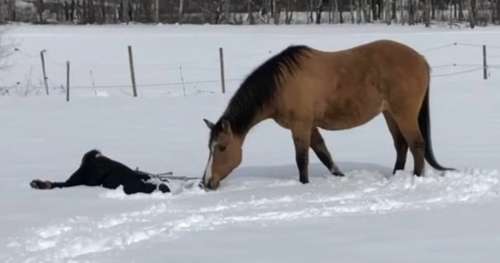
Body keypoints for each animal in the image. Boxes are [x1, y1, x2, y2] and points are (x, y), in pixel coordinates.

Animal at [200, 40, 454, 191]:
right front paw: (339, 176)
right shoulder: (310, 126)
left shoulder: (300, 126)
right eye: (209, 148)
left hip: (404, 113)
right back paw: (395, 177)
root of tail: (421, 60)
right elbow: (323, 153)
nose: (206, 183)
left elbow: (302, 159)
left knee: (416, 144)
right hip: (389, 113)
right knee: (401, 145)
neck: (281, 85)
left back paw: (415, 178)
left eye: (222, 147)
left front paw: (304, 185)